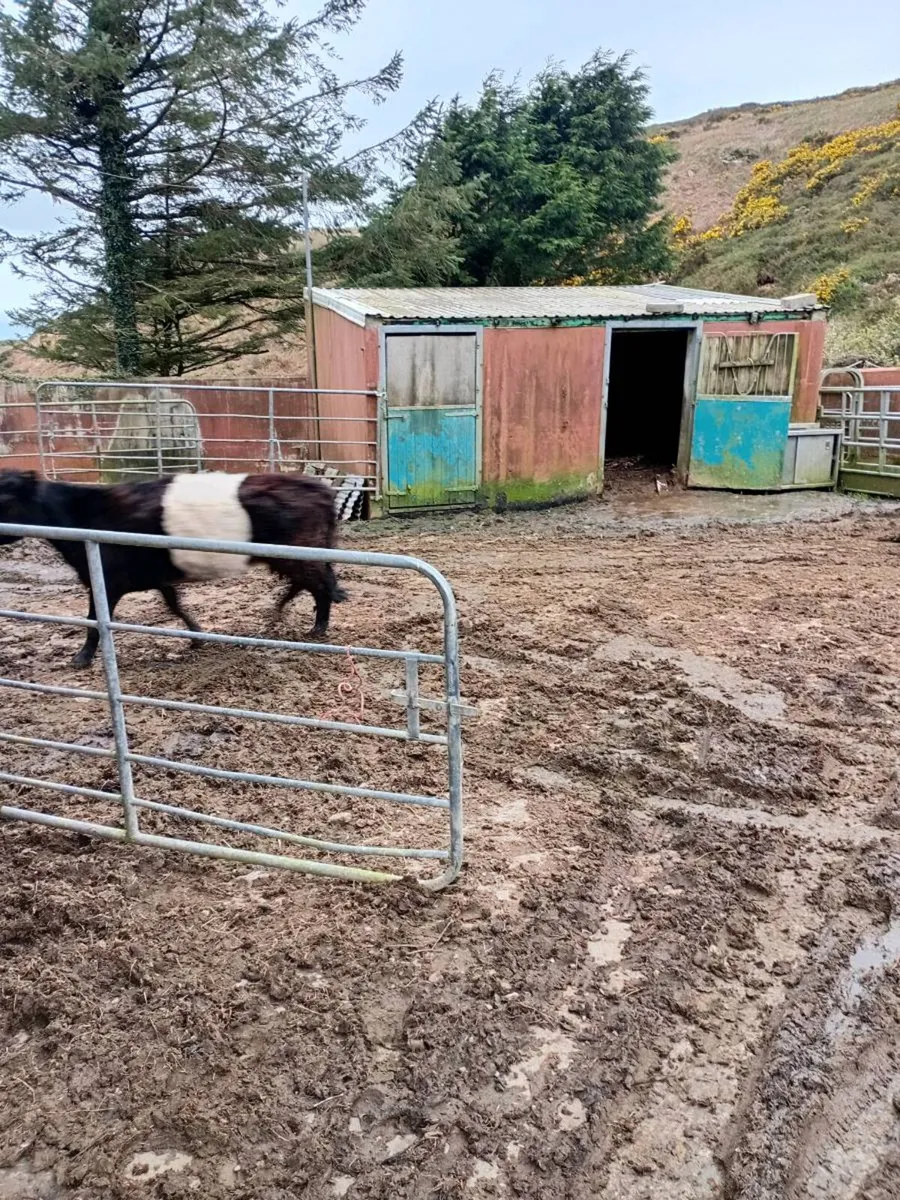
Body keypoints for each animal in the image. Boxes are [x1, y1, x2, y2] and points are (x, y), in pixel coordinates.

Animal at [0, 469, 347, 668]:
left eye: (5, 498)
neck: (83, 514)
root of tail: (322, 490)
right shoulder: (154, 578)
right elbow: (174, 605)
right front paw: (197, 637)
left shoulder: (105, 582)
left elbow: (94, 621)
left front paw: (80, 659)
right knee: (314, 583)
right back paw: (280, 611)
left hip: (297, 556)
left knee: (321, 586)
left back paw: (316, 628)